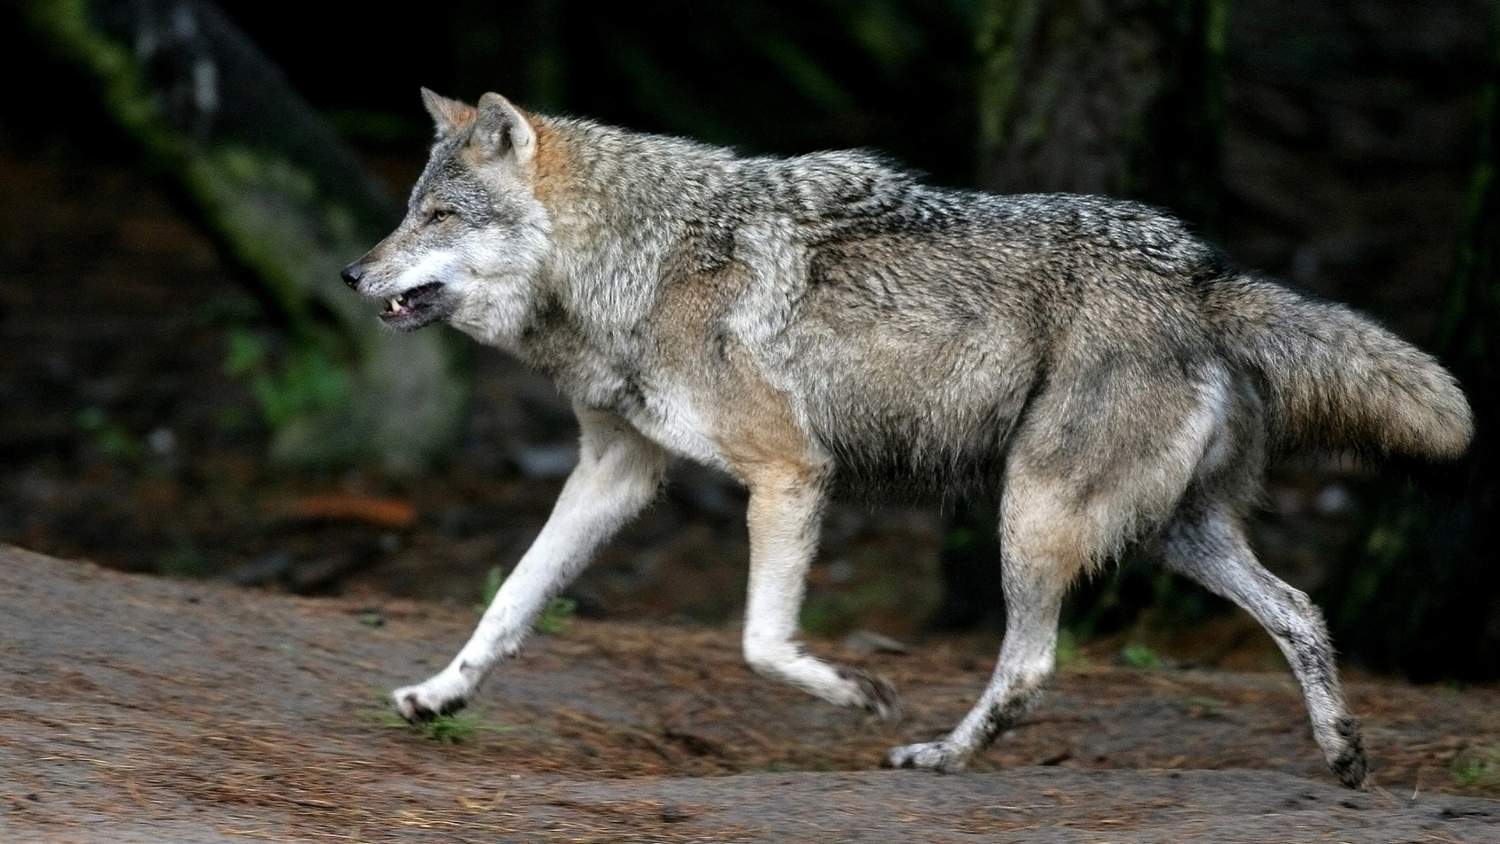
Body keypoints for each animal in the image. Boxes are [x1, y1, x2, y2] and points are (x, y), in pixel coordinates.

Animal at [341, 89, 1472, 788]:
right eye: (408, 211)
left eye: (436, 216)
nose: (352, 274)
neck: (637, 264)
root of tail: (1208, 275)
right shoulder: (615, 469)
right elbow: (510, 602)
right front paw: (439, 694)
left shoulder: (792, 471)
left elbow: (760, 642)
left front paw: (858, 692)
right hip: (1172, 535)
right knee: (1301, 611)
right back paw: (1344, 757)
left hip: (1033, 512)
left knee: (1031, 668)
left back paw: (939, 756)